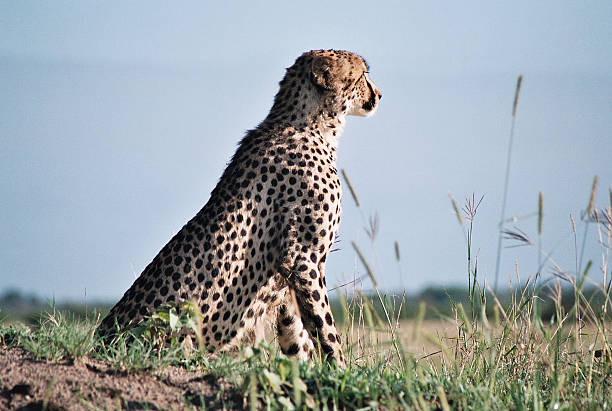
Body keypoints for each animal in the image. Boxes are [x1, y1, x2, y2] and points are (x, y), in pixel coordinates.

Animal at [97, 49, 380, 364]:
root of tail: (100, 342)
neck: (310, 124)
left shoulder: (288, 280)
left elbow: (298, 337)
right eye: (363, 74)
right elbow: (325, 328)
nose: (379, 94)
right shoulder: (303, 259)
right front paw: (342, 368)